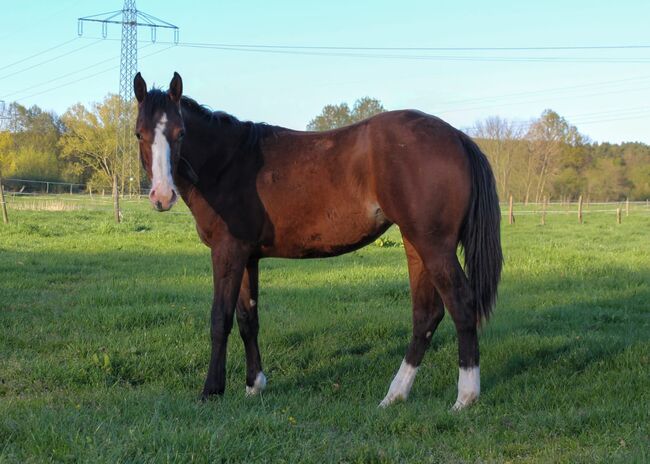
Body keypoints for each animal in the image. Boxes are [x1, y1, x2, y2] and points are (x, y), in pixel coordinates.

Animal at [133, 72, 502, 409]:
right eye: (140, 133)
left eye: (181, 133)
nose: (162, 196)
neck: (229, 162)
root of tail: (457, 136)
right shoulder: (247, 257)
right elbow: (248, 319)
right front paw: (254, 385)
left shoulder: (227, 253)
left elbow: (219, 319)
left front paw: (212, 390)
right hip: (415, 244)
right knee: (426, 315)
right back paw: (395, 395)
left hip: (434, 246)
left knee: (461, 305)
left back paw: (465, 398)